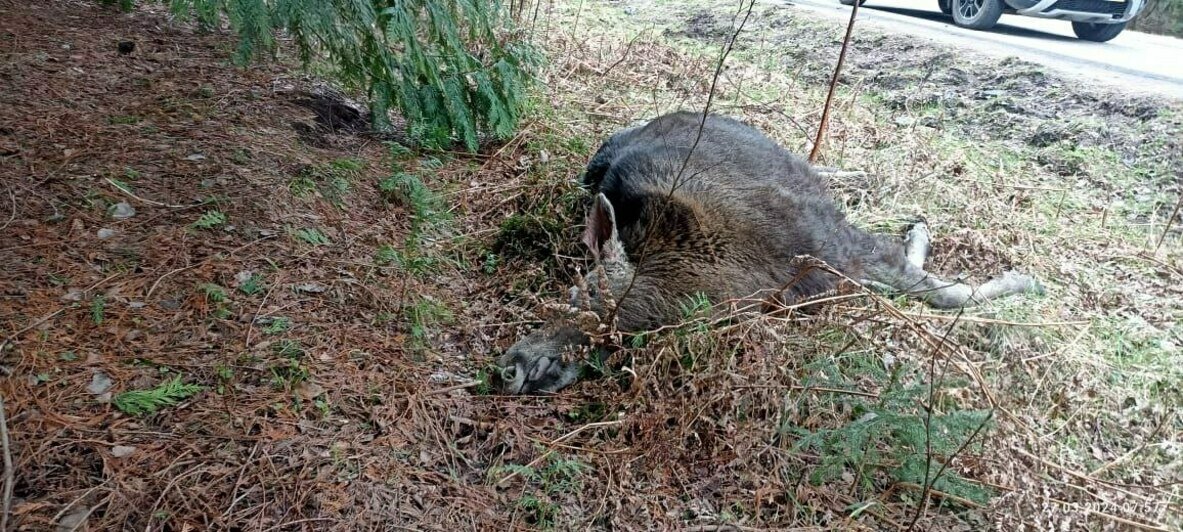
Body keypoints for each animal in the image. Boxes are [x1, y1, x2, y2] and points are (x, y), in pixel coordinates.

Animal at [499, 112, 1045, 394]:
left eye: (582, 294)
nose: (513, 367)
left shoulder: (831, 242)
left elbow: (946, 291)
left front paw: (1024, 279)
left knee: (818, 166)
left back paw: (871, 180)